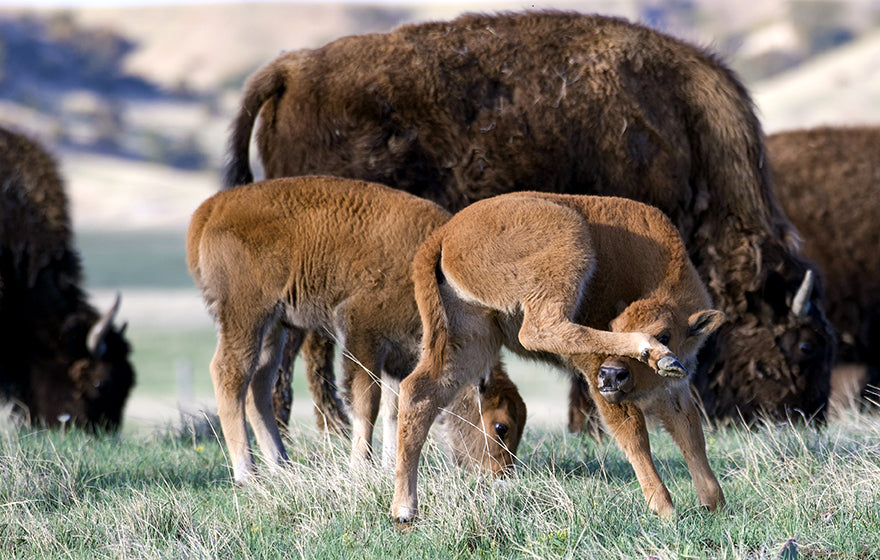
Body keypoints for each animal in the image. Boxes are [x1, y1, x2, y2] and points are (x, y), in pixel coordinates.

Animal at [185, 176, 524, 482]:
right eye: (501, 426)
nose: (501, 475)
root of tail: (214, 207)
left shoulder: (398, 357)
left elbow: (394, 408)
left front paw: (389, 465)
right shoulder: (363, 334)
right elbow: (366, 401)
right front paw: (361, 466)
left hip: (274, 327)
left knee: (259, 383)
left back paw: (282, 466)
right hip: (246, 316)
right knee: (230, 374)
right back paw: (247, 472)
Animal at [225, 9, 832, 424]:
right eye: (805, 345)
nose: (805, 418)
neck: (684, 127)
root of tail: (294, 67)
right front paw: (592, 419)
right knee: (305, 349)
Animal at [392, 192, 720, 520]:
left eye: (666, 334)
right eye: (613, 325)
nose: (612, 374)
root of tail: (444, 234)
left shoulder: (676, 390)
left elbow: (692, 436)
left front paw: (714, 502)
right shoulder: (600, 381)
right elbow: (635, 435)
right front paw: (666, 509)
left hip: (470, 338)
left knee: (420, 394)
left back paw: (404, 509)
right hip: (570, 242)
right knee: (539, 328)